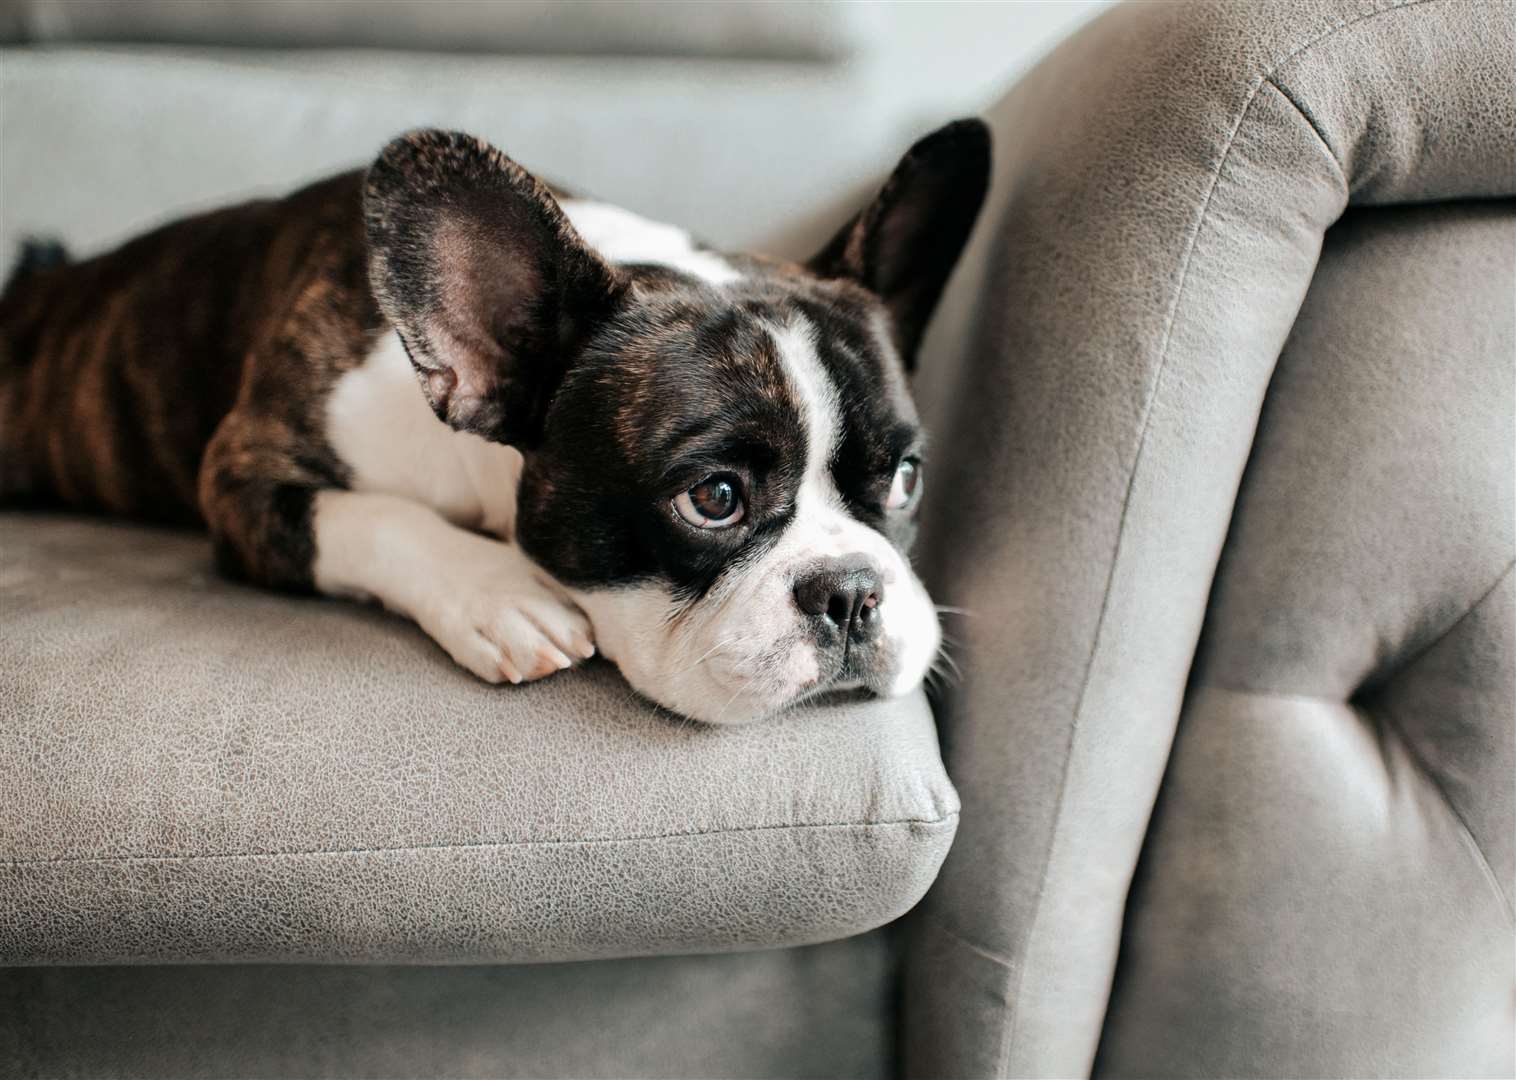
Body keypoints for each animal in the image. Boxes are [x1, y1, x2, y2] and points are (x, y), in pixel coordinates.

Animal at [0, 120, 988, 725]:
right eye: (714, 499)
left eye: (906, 479)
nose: (852, 590)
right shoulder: (245, 474)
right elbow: (374, 516)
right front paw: (498, 593)